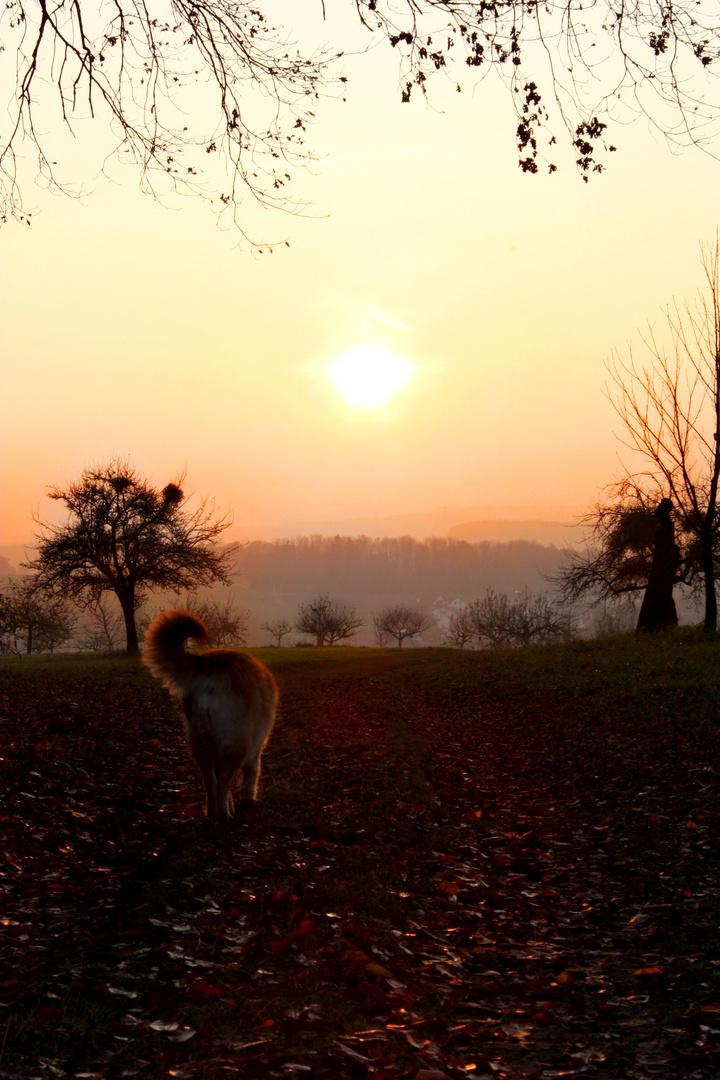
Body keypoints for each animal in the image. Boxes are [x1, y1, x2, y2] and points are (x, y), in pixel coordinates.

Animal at [142, 609, 278, 816]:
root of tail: (211, 665)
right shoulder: (254, 751)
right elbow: (250, 776)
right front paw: (247, 799)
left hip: (201, 740)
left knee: (209, 780)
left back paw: (212, 811)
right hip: (234, 742)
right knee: (222, 781)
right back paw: (223, 814)